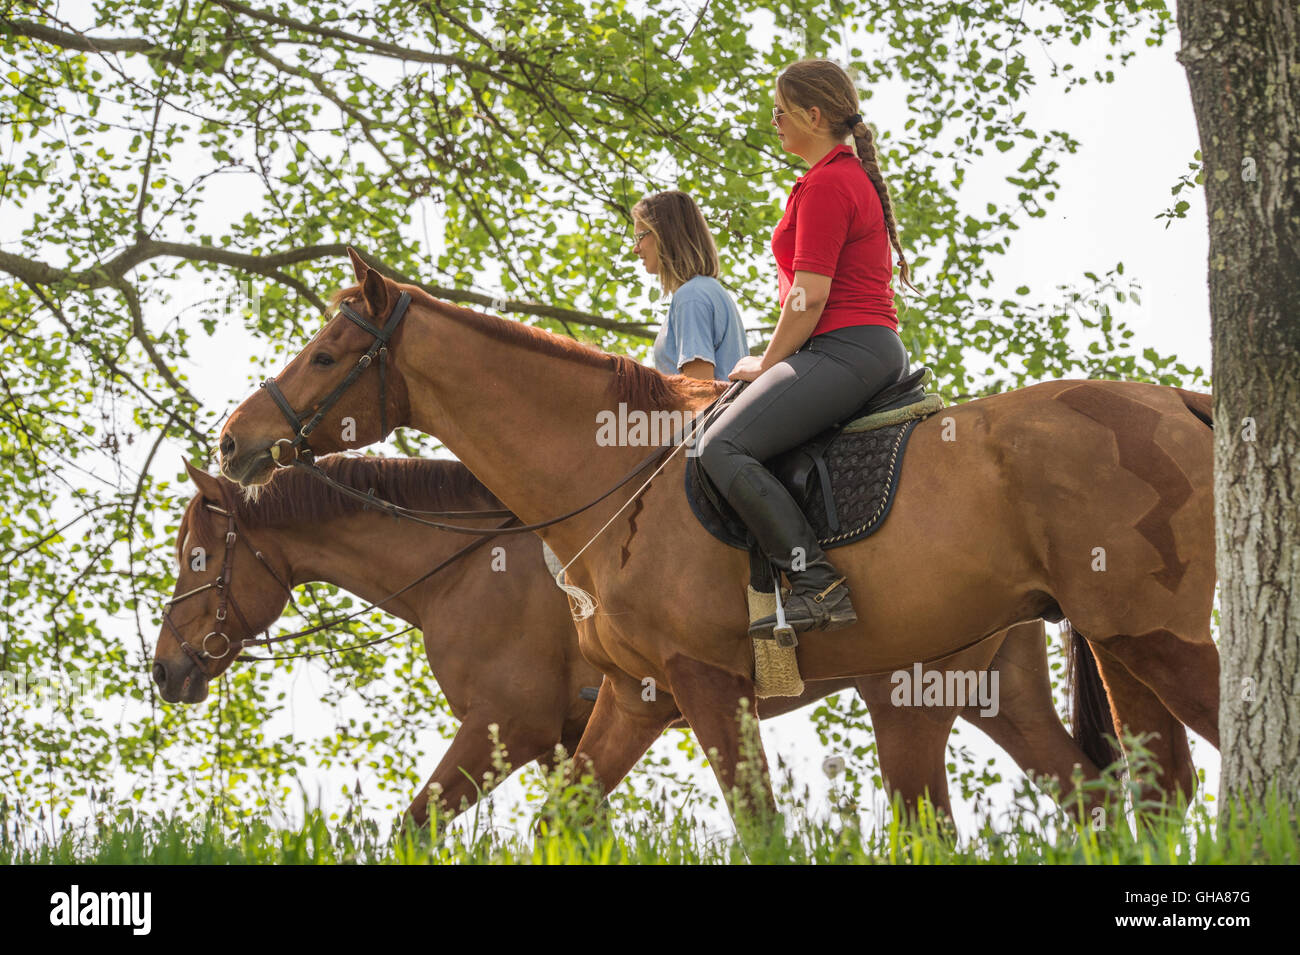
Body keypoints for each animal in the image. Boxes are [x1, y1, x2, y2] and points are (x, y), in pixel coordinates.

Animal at [216, 251, 1218, 826]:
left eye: (326, 354)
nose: (234, 438)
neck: (610, 475)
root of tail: (1179, 400)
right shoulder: (631, 699)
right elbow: (561, 825)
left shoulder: (694, 685)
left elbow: (759, 828)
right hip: (1084, 653)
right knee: (1138, 792)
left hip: (1147, 639)